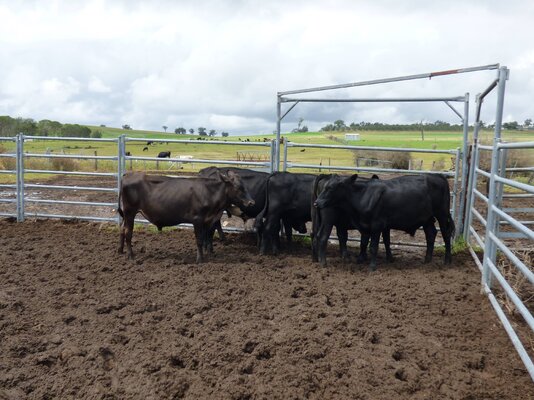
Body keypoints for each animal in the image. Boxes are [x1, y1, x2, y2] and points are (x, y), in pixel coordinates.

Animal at [118, 171, 255, 262]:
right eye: (238, 187)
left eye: (245, 186)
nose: (251, 202)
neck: (209, 192)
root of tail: (127, 176)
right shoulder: (197, 219)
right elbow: (199, 240)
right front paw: (200, 259)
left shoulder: (207, 220)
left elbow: (205, 238)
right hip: (130, 212)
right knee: (128, 232)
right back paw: (131, 256)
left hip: (126, 215)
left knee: (122, 229)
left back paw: (120, 250)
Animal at [316, 174, 454, 268]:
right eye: (326, 187)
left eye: (331, 188)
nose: (317, 202)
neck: (364, 195)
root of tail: (438, 176)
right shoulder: (368, 225)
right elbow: (369, 242)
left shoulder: (377, 225)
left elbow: (373, 246)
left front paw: (372, 266)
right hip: (427, 219)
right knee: (431, 234)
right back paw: (427, 260)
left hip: (442, 214)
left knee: (446, 235)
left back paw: (447, 261)